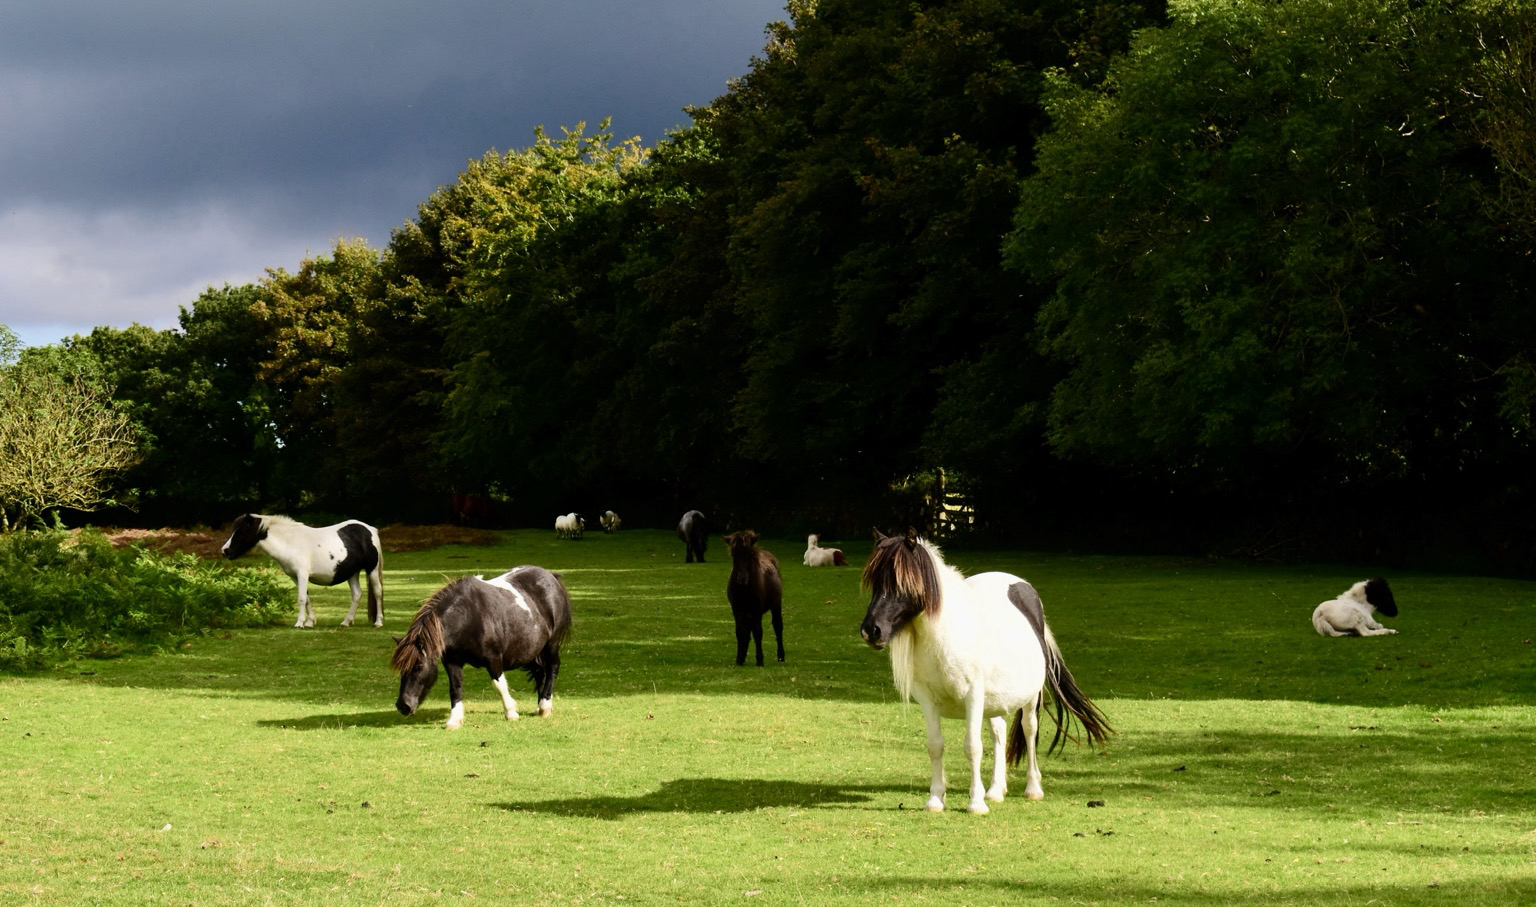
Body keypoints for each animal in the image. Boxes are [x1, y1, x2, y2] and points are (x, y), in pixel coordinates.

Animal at [221, 513, 383, 629]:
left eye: (241, 532)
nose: (224, 551)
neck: (290, 542)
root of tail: (370, 529)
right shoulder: (294, 577)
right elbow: (307, 598)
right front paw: (310, 622)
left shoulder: (302, 574)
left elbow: (301, 598)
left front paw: (300, 623)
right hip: (352, 573)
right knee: (357, 594)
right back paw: (346, 621)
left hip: (372, 570)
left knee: (377, 592)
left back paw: (378, 622)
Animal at [391, 567, 572, 730]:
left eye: (419, 666)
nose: (403, 706)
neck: (468, 617)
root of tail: (551, 576)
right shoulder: (452, 662)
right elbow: (456, 688)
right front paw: (455, 720)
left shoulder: (494, 658)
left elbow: (499, 685)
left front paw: (511, 712)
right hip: (533, 650)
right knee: (540, 672)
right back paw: (540, 706)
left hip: (551, 645)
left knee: (553, 668)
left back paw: (545, 706)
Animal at [725, 530, 784, 666]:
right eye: (734, 554)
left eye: (749, 554)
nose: (742, 578)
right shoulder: (737, 610)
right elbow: (740, 632)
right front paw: (739, 659)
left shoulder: (757, 610)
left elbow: (758, 632)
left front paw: (760, 660)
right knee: (747, 631)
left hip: (776, 604)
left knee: (777, 626)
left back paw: (781, 656)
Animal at [859, 531, 1111, 815]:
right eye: (874, 582)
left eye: (902, 582)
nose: (871, 630)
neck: (948, 635)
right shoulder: (928, 701)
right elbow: (935, 746)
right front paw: (935, 800)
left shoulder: (973, 697)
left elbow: (973, 747)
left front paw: (975, 803)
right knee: (999, 731)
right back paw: (996, 790)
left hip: (1029, 697)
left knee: (1029, 729)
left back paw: (1032, 788)